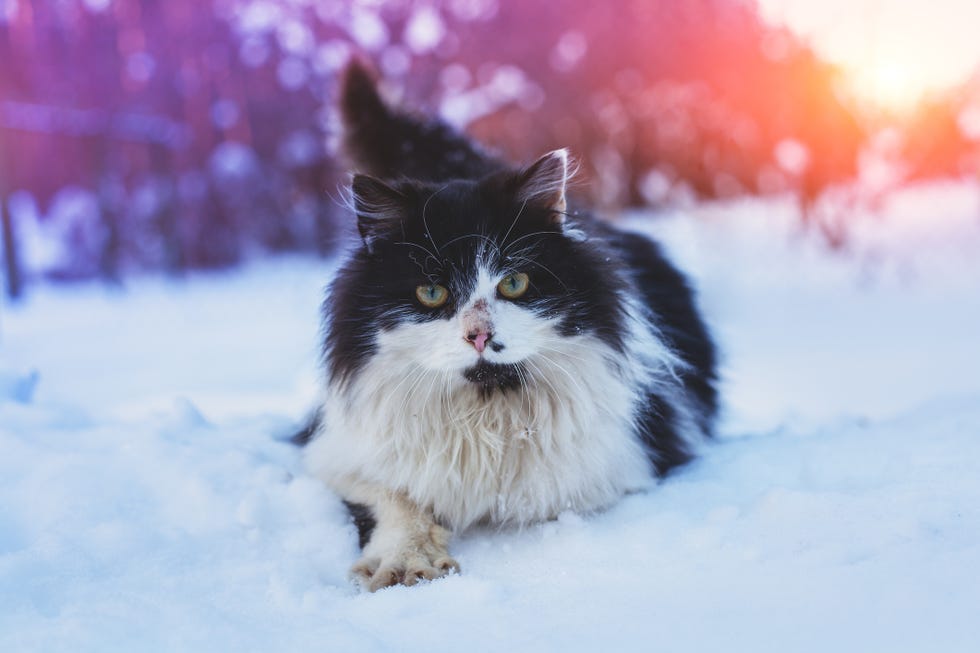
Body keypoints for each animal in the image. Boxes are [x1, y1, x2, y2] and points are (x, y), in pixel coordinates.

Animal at [296, 62, 712, 592]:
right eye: (431, 294)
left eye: (514, 283)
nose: (479, 335)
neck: (485, 415)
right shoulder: (333, 456)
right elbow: (393, 499)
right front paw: (406, 562)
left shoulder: (613, 467)